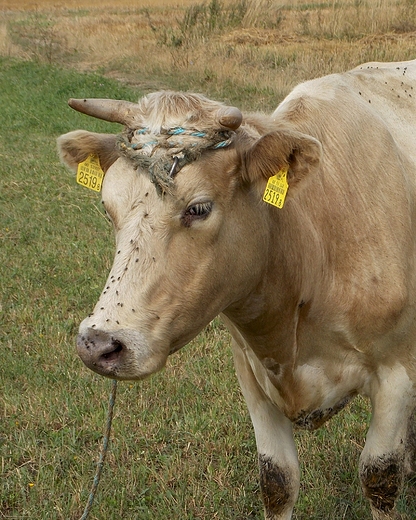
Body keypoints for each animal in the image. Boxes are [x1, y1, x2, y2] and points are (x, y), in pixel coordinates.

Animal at [57, 59, 416, 516]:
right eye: (108, 208)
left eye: (199, 208)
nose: (99, 344)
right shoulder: (251, 371)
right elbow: (277, 480)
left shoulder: (396, 371)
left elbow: (379, 478)